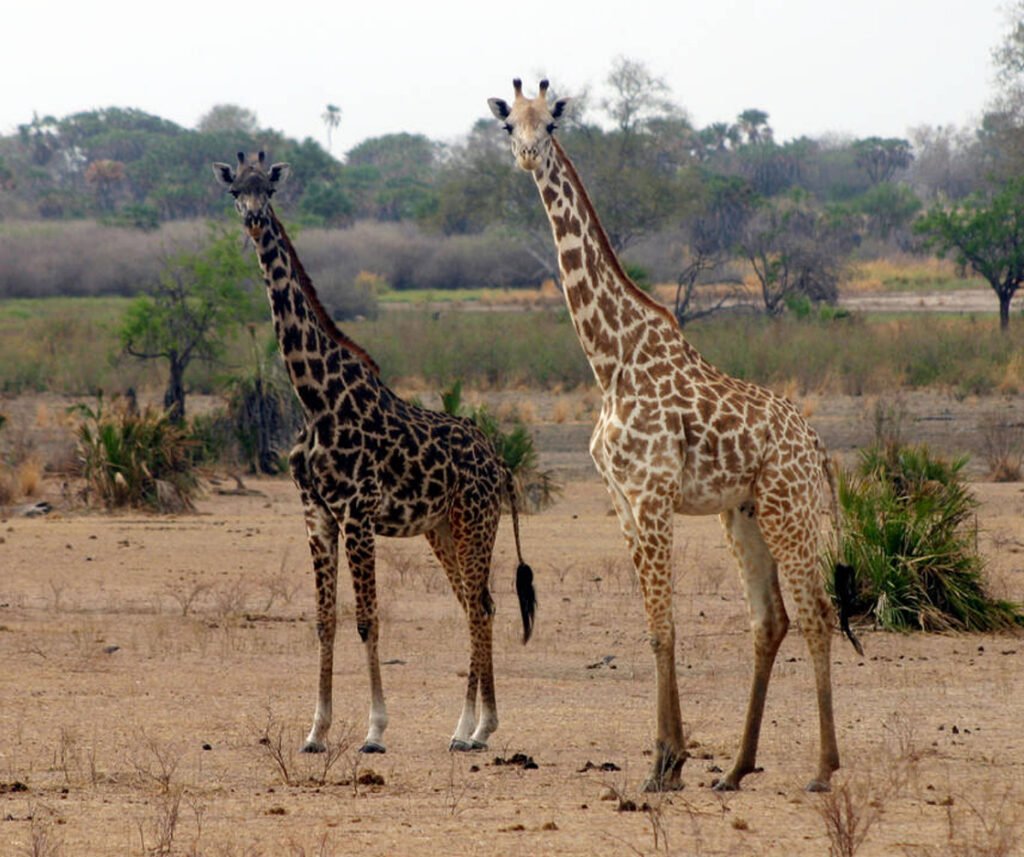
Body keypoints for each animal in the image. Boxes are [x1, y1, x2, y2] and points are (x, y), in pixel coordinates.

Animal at [213, 151, 536, 755]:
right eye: (234, 191)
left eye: (269, 188)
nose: (254, 221)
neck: (314, 398)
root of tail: (499, 461)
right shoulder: (316, 513)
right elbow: (325, 620)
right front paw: (315, 731)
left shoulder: (356, 513)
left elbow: (368, 620)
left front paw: (375, 730)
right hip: (442, 528)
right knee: (475, 604)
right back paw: (474, 726)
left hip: (475, 520)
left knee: (479, 605)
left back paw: (472, 729)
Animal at [488, 81, 861, 793]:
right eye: (506, 125)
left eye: (551, 123)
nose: (526, 155)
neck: (609, 360)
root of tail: (817, 446)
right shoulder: (622, 501)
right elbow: (652, 626)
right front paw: (671, 759)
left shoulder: (653, 494)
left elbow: (664, 627)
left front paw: (666, 761)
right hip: (742, 514)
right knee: (769, 620)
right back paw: (736, 769)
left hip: (789, 509)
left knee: (816, 615)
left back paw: (824, 770)